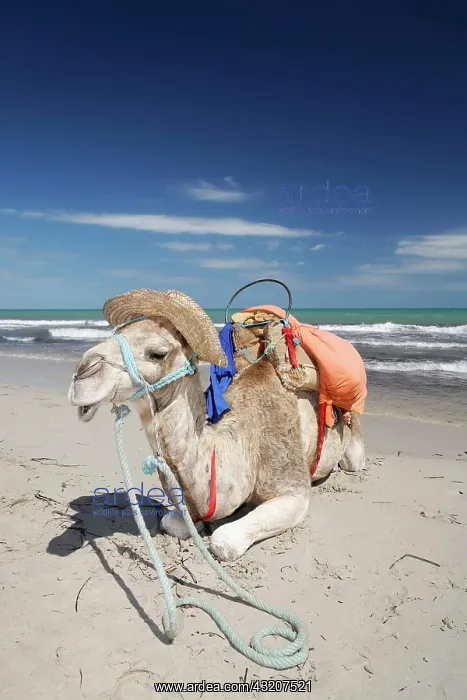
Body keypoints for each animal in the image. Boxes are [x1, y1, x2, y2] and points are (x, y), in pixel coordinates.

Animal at [68, 288, 366, 562]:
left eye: (157, 353)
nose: (82, 374)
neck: (243, 441)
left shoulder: (294, 490)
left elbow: (224, 541)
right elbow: (171, 521)